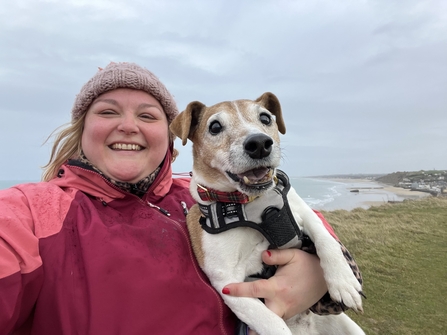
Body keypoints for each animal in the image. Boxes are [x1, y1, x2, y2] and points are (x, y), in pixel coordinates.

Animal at [170, 92, 366, 335]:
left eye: (265, 118)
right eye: (214, 126)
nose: (259, 143)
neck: (251, 204)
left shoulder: (300, 211)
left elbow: (325, 238)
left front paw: (343, 281)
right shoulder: (228, 283)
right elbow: (274, 324)